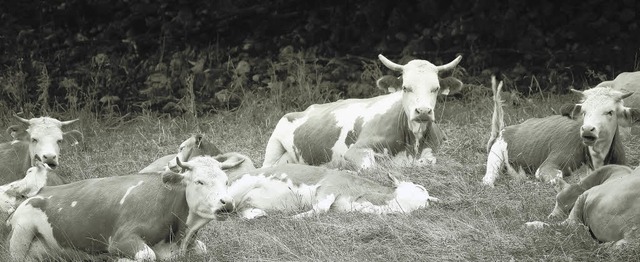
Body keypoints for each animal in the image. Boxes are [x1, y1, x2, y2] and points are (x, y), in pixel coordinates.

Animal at [8, 156, 232, 260]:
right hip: (21, 233)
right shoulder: (120, 239)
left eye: (227, 181)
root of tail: (40, 190)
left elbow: (202, 249)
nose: (227, 203)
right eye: (199, 181)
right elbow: (147, 254)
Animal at [262, 54, 462, 169]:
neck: (413, 143)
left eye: (436, 88)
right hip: (274, 143)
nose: (423, 111)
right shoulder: (356, 150)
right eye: (406, 87)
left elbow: (428, 161)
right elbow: (370, 166)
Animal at [482, 75, 636, 186]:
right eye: (584, 112)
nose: (587, 129)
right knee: (488, 180)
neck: (597, 158)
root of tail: (505, 129)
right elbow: (558, 178)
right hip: (495, 157)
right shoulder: (549, 164)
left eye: (610, 112)